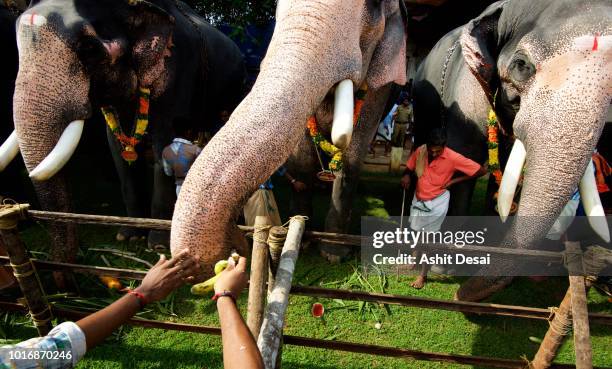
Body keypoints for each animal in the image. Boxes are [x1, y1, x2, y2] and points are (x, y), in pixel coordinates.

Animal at [0, 0, 245, 284]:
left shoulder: (176, 75)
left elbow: (163, 143)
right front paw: (126, 236)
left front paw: (157, 244)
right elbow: (117, 150)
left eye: (89, 49)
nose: (64, 277)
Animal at [165, 0, 408, 270]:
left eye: (375, 6)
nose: (236, 242)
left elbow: (351, 158)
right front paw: (302, 239)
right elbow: (302, 158)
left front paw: (334, 254)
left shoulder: (380, 89)